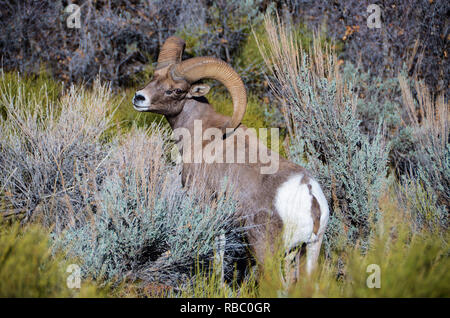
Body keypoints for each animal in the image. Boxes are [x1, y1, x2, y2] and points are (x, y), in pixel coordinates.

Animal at [132, 36, 328, 282]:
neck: (201, 134)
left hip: (266, 250)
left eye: (176, 90)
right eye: (154, 77)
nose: (139, 98)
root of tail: (309, 196)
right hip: (308, 251)